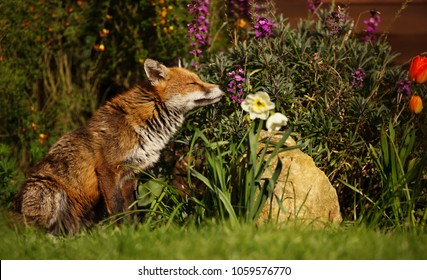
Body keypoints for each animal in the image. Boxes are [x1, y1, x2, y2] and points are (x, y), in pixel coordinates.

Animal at [14, 59, 224, 234]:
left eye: (199, 79)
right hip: (51, 193)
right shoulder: (107, 169)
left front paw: (133, 233)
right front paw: (118, 233)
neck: (144, 124)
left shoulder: (131, 174)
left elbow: (131, 210)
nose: (221, 86)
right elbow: (116, 208)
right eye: (193, 84)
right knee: (33, 233)